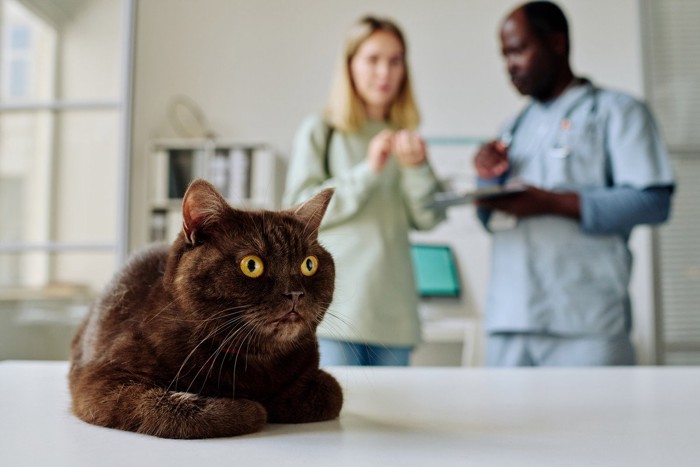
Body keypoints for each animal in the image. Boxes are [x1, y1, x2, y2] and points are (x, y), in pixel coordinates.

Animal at [69, 179, 344, 438]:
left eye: (309, 264)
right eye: (251, 265)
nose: (295, 293)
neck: (255, 360)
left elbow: (332, 392)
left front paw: (276, 401)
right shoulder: (103, 382)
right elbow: (171, 410)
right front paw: (251, 408)